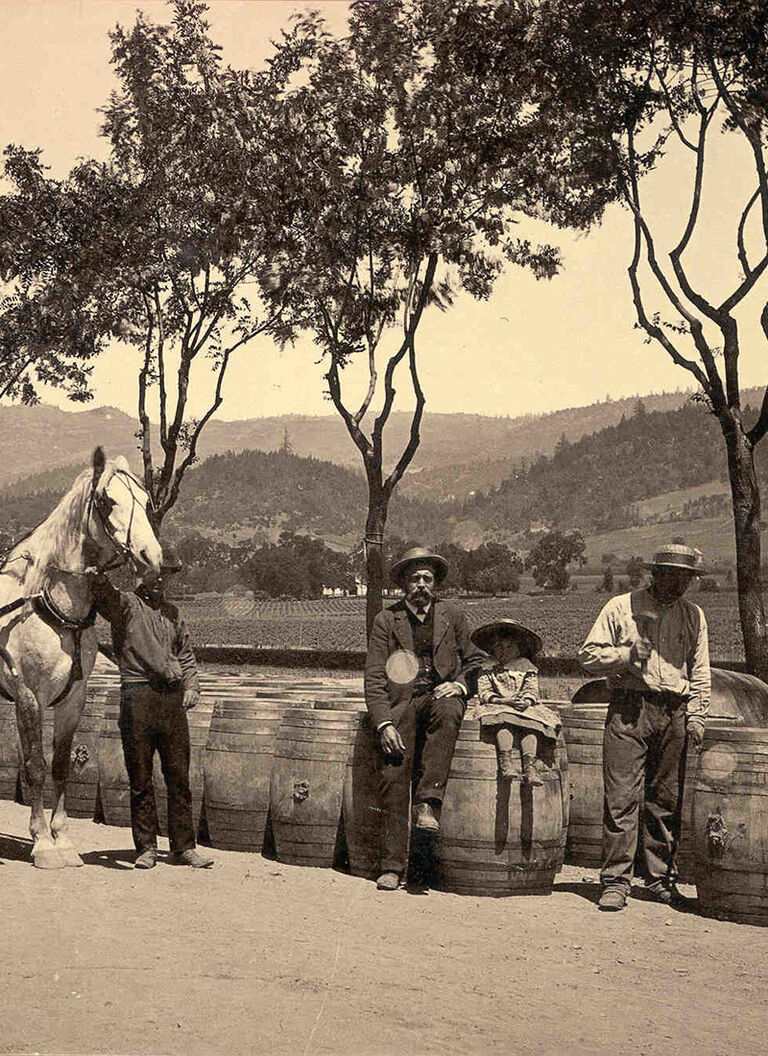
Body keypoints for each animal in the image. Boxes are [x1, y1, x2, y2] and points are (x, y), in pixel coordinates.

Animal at [0, 445, 162, 865]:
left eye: (147, 501)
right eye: (107, 501)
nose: (152, 557)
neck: (50, 603)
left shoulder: (73, 698)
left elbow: (60, 765)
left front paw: (62, 839)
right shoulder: (28, 696)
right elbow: (35, 765)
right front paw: (42, 842)